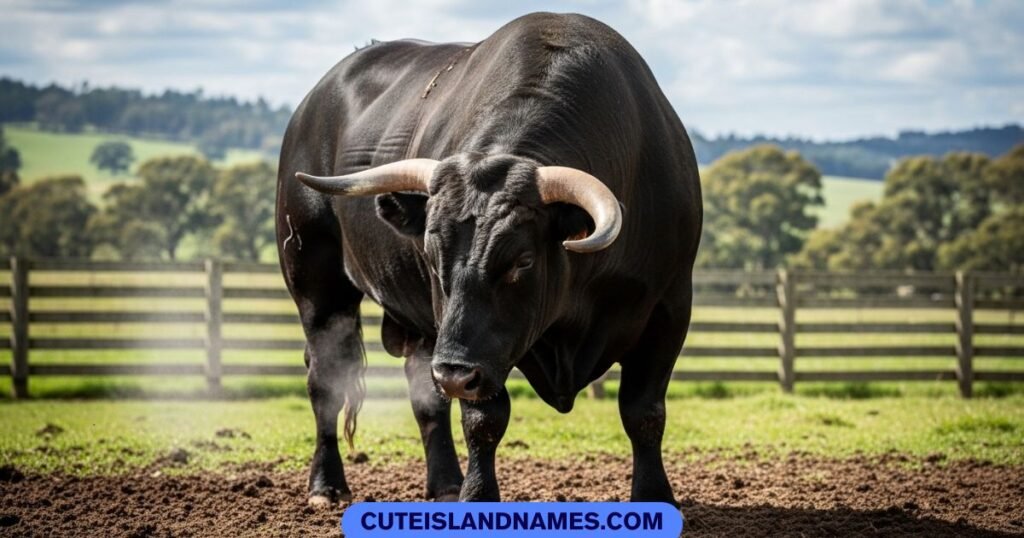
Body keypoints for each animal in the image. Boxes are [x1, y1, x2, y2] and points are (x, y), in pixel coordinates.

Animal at [276, 12, 701, 506]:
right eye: (432, 253)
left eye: (522, 261)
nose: (454, 374)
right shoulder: (466, 345)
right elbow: (483, 419)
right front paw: (478, 496)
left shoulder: (669, 307)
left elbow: (643, 411)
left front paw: (655, 496)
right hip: (318, 287)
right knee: (326, 380)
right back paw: (327, 485)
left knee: (425, 396)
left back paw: (445, 483)